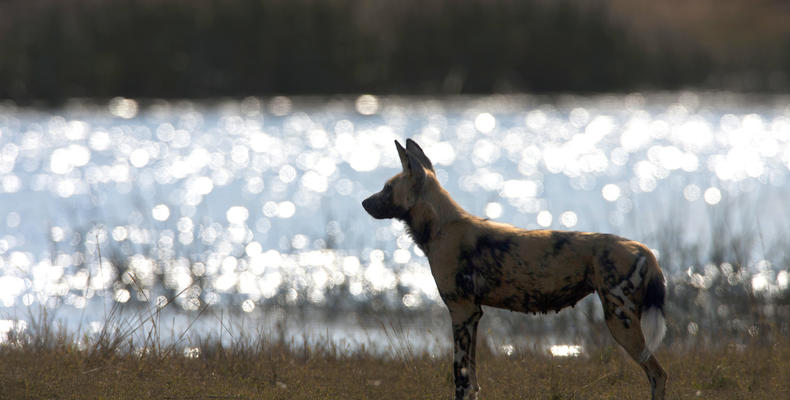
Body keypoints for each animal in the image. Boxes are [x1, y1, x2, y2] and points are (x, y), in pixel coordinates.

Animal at [364, 140, 668, 400]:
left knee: (658, 375)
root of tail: (645, 250)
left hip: (620, 321)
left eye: (387, 188)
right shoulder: (473, 315)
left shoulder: (460, 312)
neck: (439, 228)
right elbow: (473, 382)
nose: (364, 203)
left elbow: (460, 380)